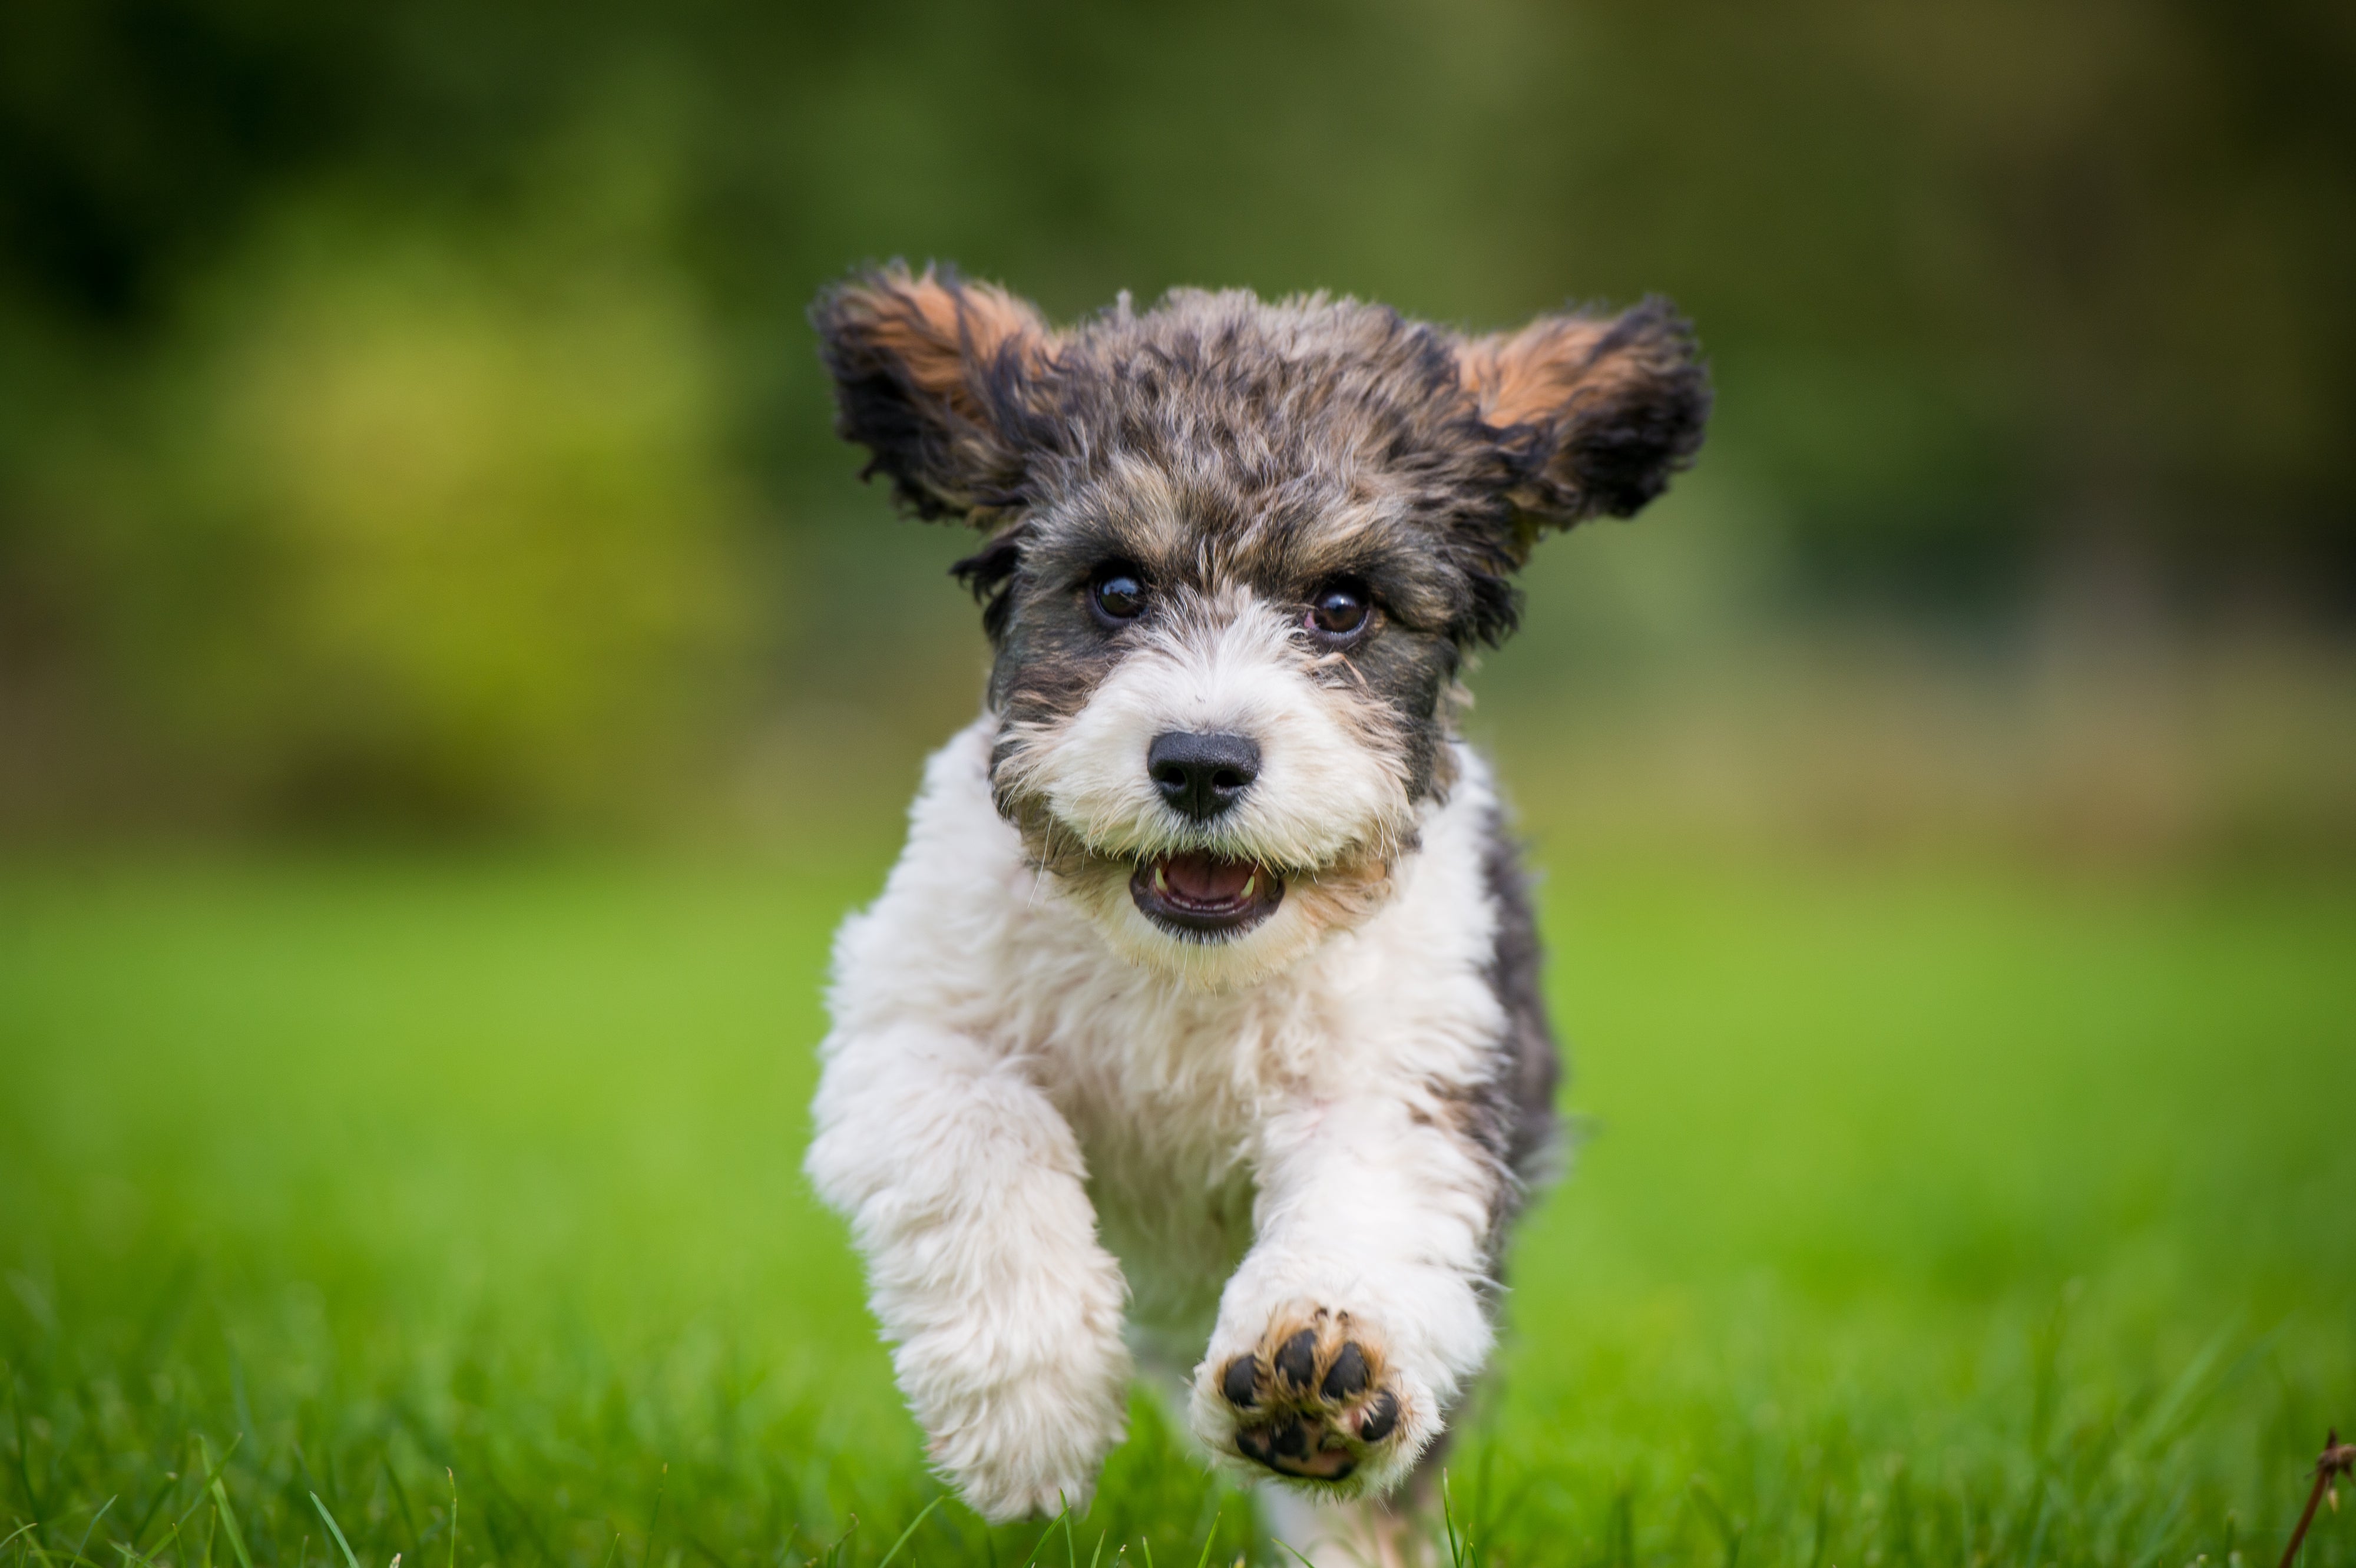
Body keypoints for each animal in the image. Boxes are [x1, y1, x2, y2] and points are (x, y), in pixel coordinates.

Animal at [801, 262, 1706, 1535]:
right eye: (1115, 588)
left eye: (1343, 605)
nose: (1199, 761)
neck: (1190, 973)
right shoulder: (915, 1016)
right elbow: (977, 1132)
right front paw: (1030, 1415)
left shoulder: (1406, 1074)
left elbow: (1364, 1209)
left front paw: (1315, 1368)